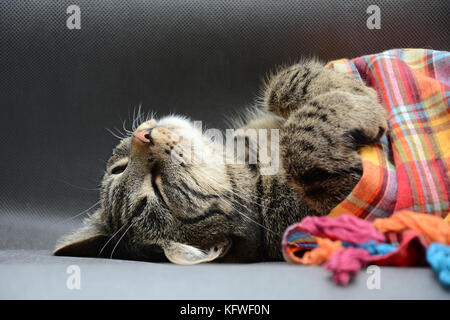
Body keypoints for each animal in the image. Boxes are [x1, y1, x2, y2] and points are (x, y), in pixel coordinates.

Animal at [55, 58, 386, 264]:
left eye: (117, 168)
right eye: (156, 191)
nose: (142, 135)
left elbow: (283, 82)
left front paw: (346, 85)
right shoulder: (341, 194)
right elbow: (302, 144)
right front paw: (361, 103)